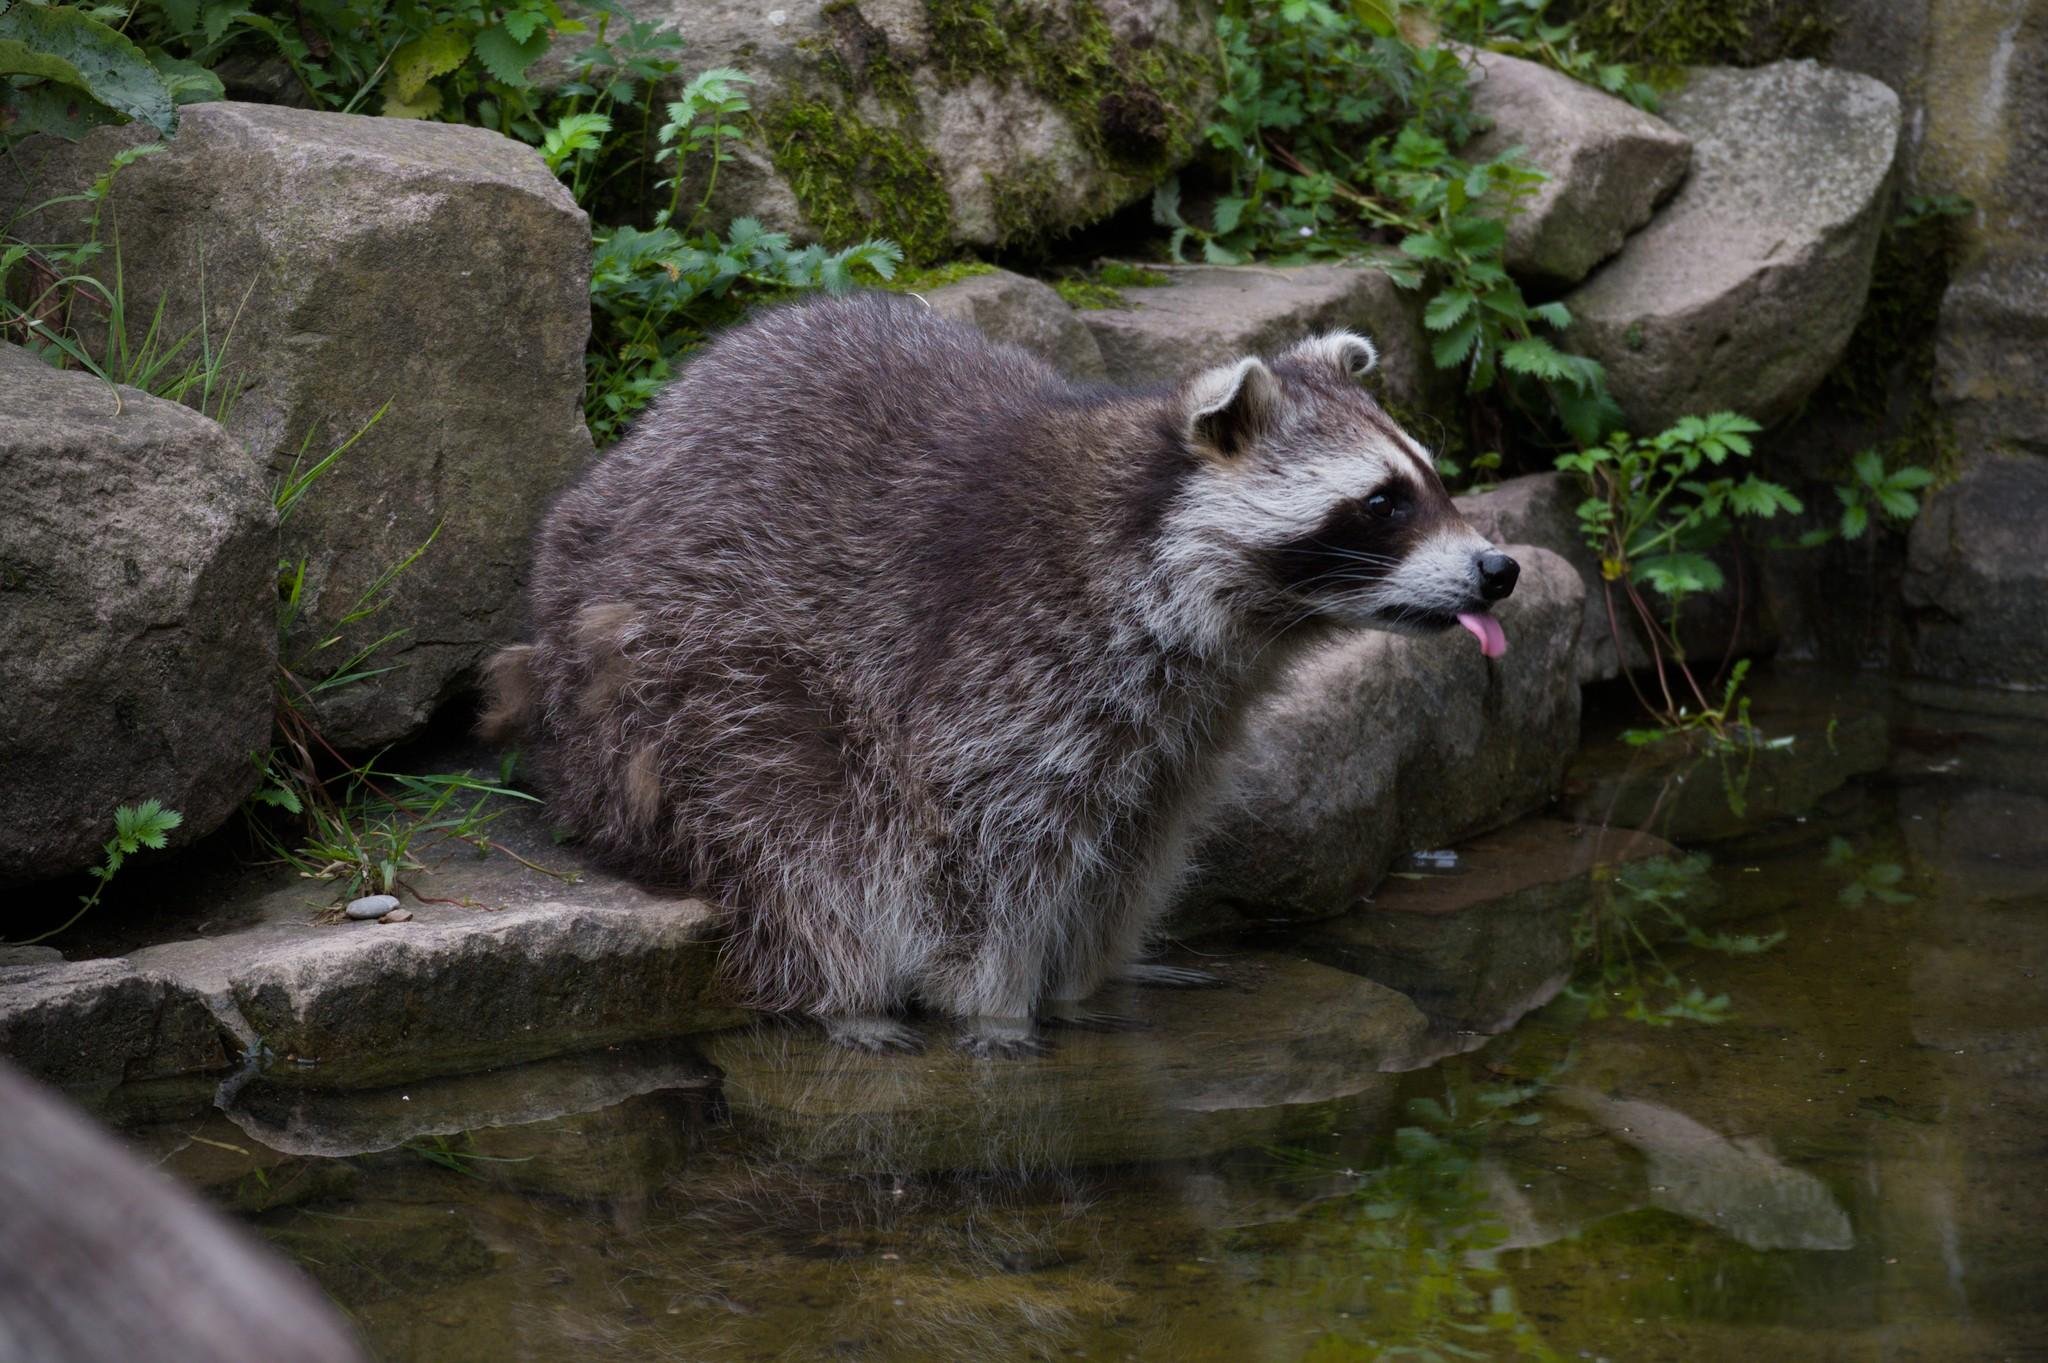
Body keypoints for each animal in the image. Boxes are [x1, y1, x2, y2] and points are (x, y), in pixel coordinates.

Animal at [485, 292, 1519, 1056]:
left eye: (1433, 478)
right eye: (1382, 503)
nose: (1501, 569)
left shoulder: (1180, 727)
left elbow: (1131, 850)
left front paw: (1090, 983)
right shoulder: (1010, 673)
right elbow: (985, 866)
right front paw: (999, 1009)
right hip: (685, 674)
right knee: (807, 827)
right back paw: (845, 989)